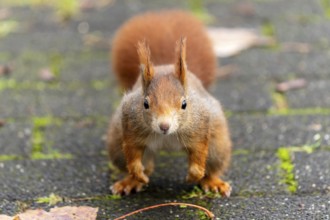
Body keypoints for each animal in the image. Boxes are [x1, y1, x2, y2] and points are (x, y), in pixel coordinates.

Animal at [107, 10, 231, 197]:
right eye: (145, 104)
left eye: (184, 104)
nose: (164, 126)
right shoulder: (130, 124)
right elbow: (132, 153)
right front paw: (137, 174)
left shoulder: (200, 127)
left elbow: (199, 154)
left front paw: (193, 176)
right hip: (116, 144)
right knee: (142, 164)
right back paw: (131, 181)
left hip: (217, 146)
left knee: (212, 165)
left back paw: (212, 181)